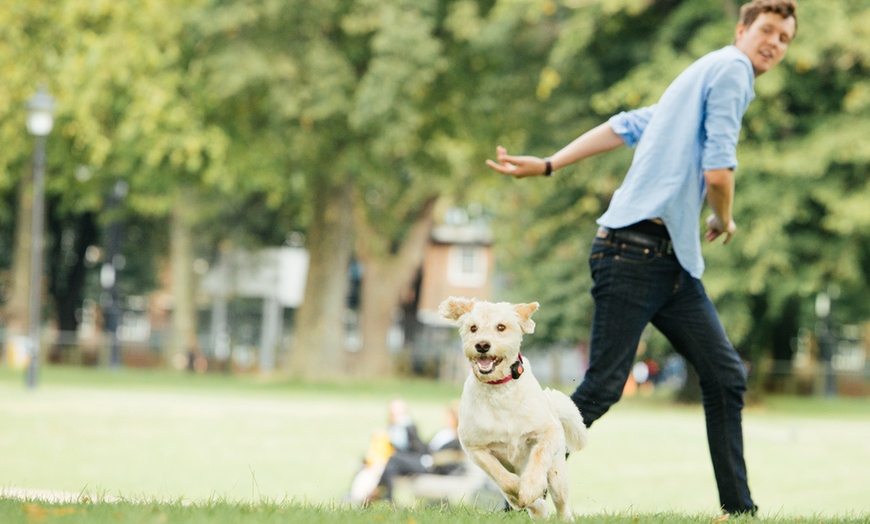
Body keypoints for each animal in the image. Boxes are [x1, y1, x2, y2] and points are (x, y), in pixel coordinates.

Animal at [440, 294, 588, 520]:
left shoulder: (547, 431)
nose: (482, 345)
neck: (500, 391)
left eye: (501, 327)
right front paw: (522, 493)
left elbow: (538, 457)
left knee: (561, 503)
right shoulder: (475, 447)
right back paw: (536, 508)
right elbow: (502, 478)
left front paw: (530, 488)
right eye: (473, 328)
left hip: (558, 474)